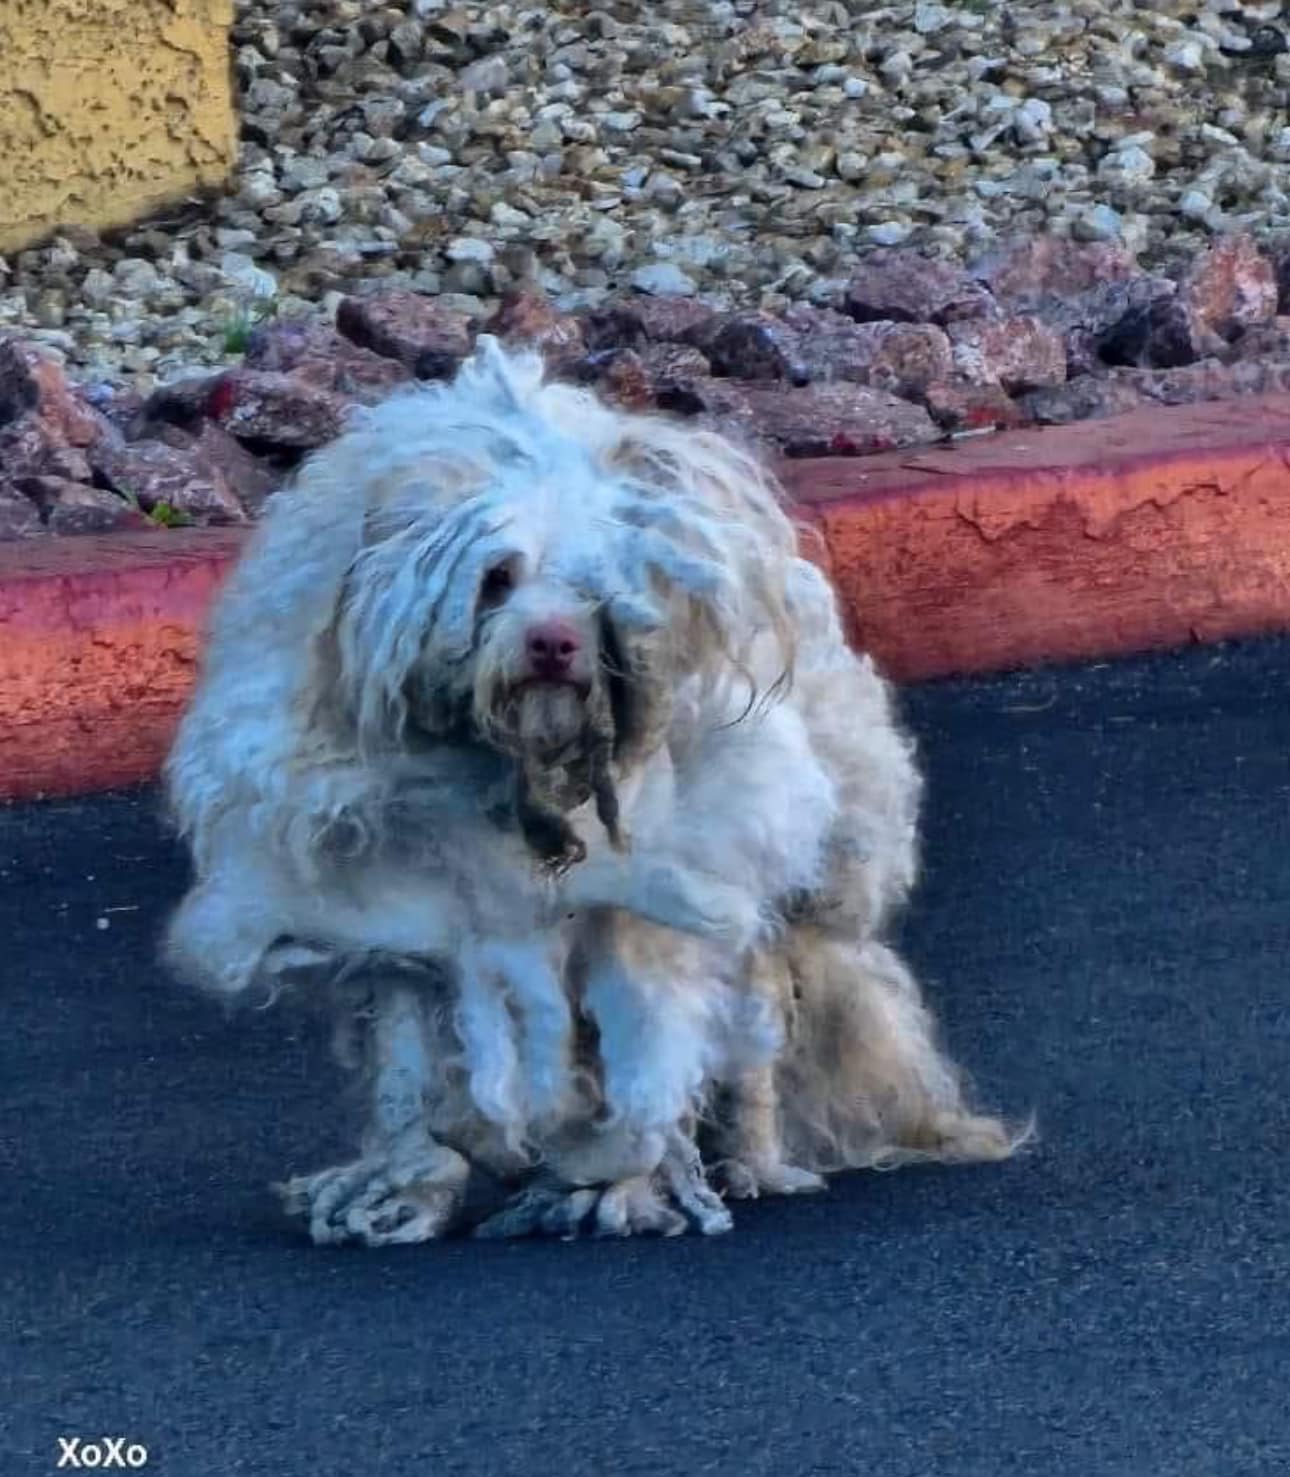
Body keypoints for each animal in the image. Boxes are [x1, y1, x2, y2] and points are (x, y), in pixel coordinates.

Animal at [166, 338, 1022, 1246]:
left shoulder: (651, 907)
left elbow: (647, 1052)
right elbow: (409, 1070)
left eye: (597, 590)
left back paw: (750, 1159)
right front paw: (411, 1187)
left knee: (752, 1036)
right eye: (496, 578)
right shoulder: (399, 915)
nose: (553, 643)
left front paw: (617, 1180)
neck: (521, 778)